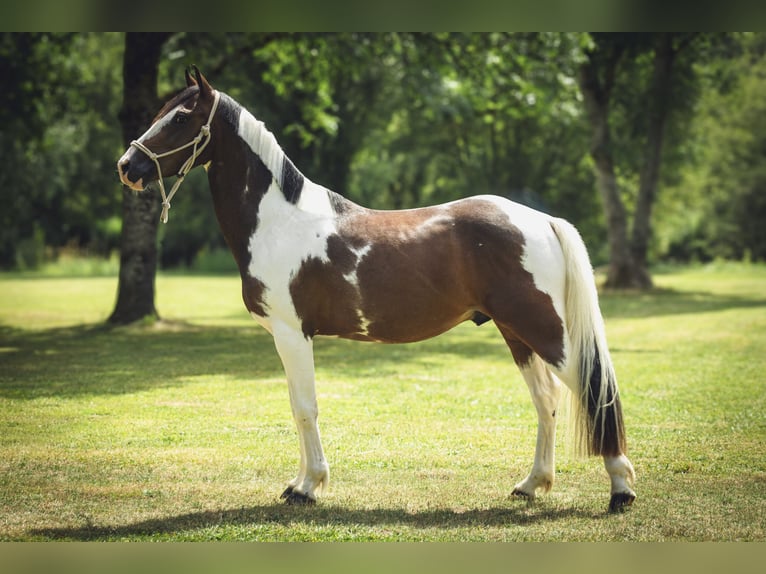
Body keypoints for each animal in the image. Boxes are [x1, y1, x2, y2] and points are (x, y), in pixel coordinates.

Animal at [117, 67, 636, 512]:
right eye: (161, 109)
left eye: (180, 118)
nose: (128, 166)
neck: (279, 221)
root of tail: (541, 220)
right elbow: (298, 406)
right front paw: (301, 483)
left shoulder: (291, 333)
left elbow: (305, 408)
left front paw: (307, 487)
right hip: (516, 332)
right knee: (547, 401)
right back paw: (532, 484)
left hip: (544, 330)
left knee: (593, 390)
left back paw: (621, 490)